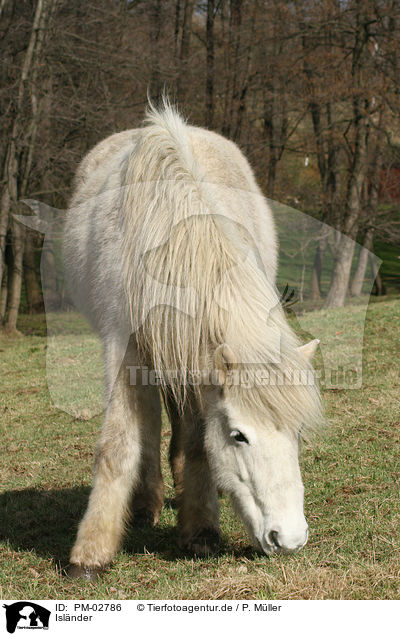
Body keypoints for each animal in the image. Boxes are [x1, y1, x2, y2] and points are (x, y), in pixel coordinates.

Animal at [65, 103, 322, 580]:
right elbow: (119, 445)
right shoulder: (124, 350)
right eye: (239, 436)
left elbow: (197, 439)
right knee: (147, 430)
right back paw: (144, 505)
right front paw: (90, 554)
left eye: (297, 432)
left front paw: (200, 530)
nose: (290, 539)